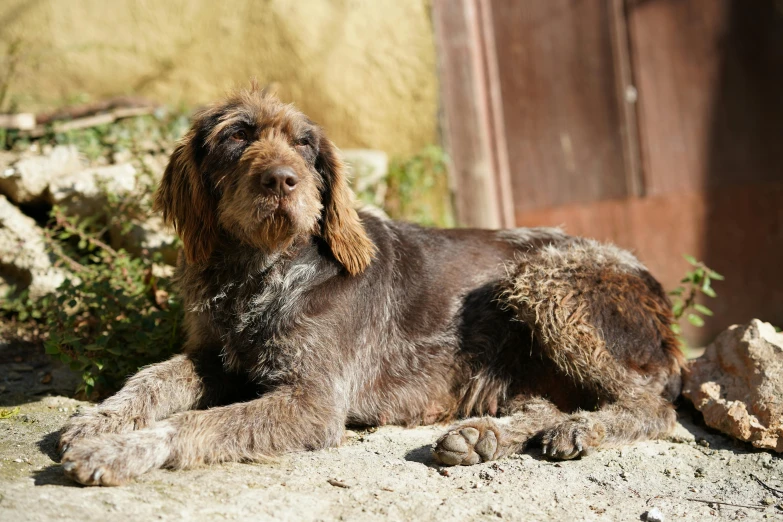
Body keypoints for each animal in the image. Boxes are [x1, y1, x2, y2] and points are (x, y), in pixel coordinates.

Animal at [56, 84, 688, 484]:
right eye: (237, 137)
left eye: (304, 145)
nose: (282, 180)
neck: (260, 273)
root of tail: (652, 286)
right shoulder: (214, 354)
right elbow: (151, 380)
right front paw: (98, 420)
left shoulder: (312, 402)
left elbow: (193, 421)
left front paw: (116, 450)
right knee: (544, 403)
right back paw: (482, 437)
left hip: (545, 286)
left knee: (652, 408)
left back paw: (579, 429)